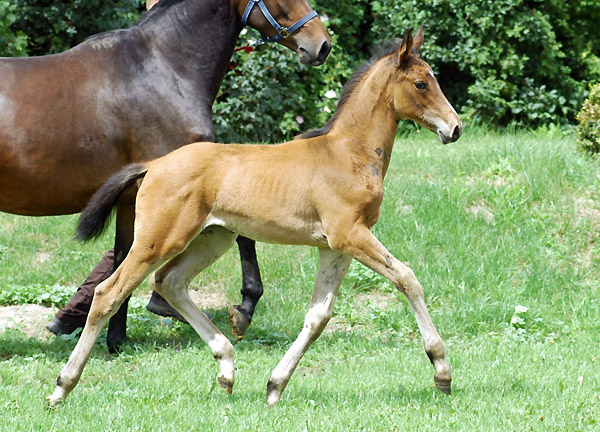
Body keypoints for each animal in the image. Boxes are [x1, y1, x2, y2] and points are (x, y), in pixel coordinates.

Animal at [0, 0, 330, 352]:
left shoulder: (132, 198)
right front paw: (244, 307)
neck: (164, 69)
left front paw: (117, 339)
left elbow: (121, 257)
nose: (322, 45)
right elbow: (241, 234)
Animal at [48, 26, 460, 408]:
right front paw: (441, 371)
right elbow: (408, 278)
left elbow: (318, 317)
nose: (454, 128)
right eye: (421, 83)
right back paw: (62, 386)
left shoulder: (335, 247)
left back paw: (227, 368)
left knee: (170, 282)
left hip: (213, 238)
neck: (349, 154)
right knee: (109, 292)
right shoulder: (350, 235)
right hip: (158, 239)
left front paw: (275, 386)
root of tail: (153, 165)